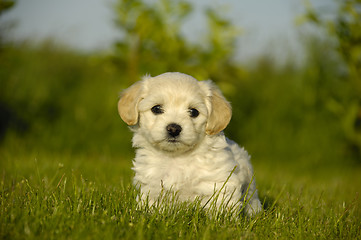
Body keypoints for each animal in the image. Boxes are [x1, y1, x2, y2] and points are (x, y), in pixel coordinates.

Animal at [118, 71, 262, 216]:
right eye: (156, 108)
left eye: (193, 112)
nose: (173, 129)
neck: (177, 157)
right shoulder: (153, 187)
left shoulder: (218, 182)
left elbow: (220, 206)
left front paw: (221, 219)